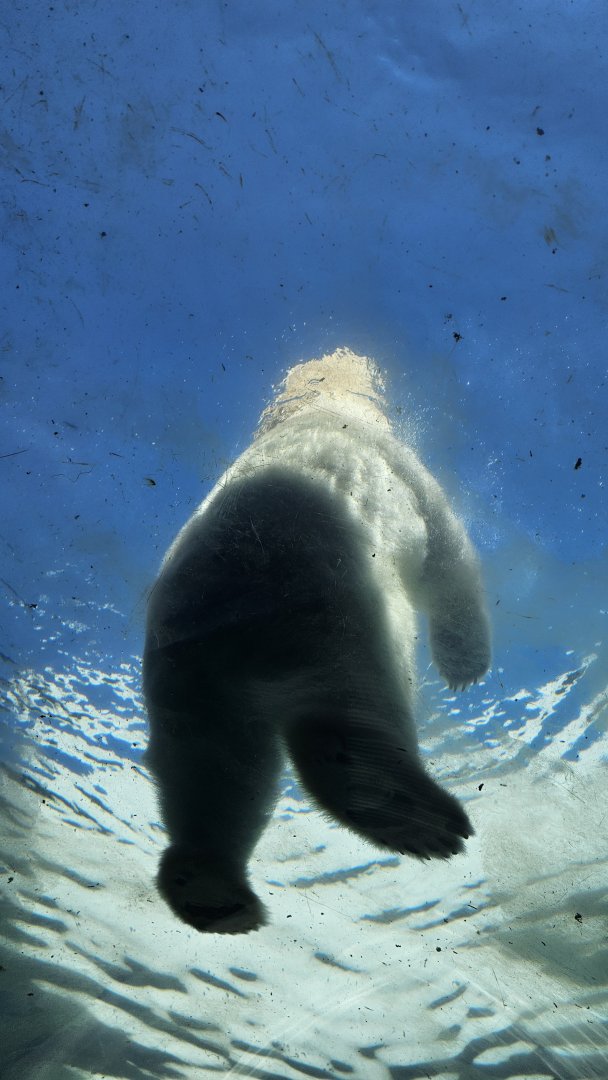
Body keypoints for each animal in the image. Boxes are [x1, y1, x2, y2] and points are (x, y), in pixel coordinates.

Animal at [143, 347, 491, 934]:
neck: (326, 404)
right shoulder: (405, 471)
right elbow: (447, 556)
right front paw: (466, 663)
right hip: (347, 611)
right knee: (352, 711)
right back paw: (414, 817)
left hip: (185, 665)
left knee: (213, 767)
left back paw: (211, 890)